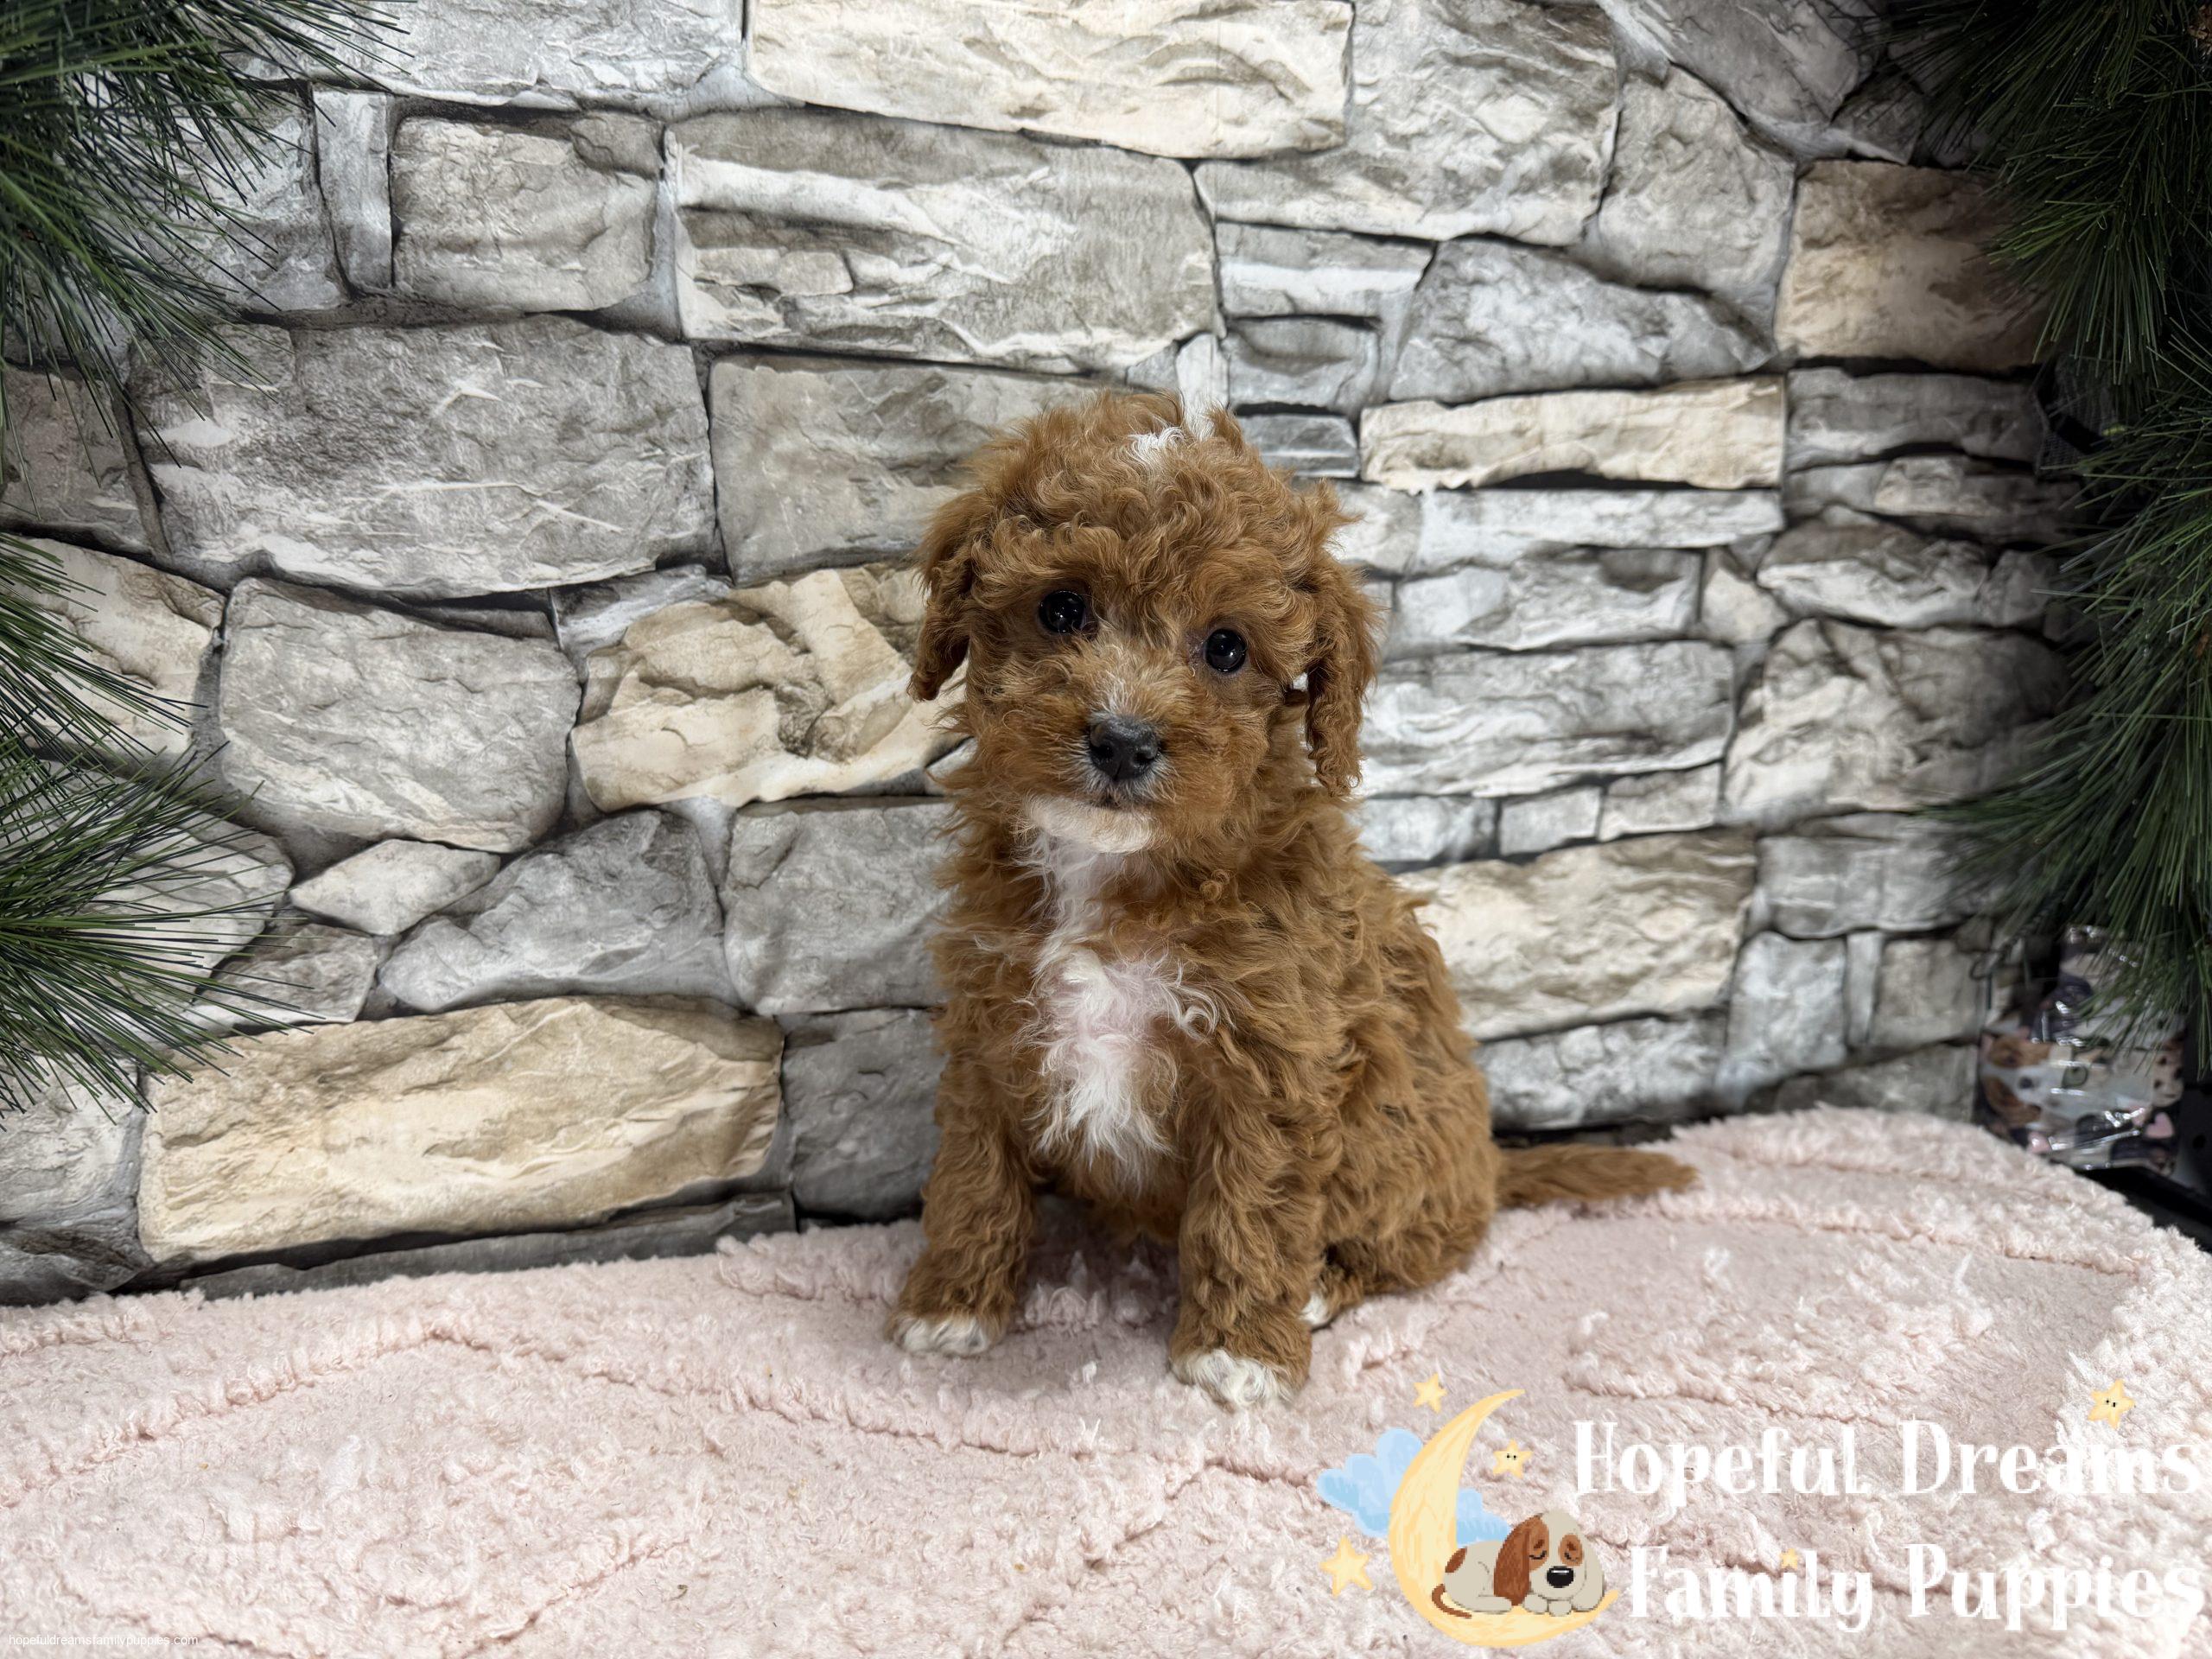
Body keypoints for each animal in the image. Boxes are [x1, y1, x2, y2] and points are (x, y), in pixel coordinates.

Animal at [886, 392, 1695, 1409]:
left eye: (1225, 647)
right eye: (1061, 608)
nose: (1122, 740)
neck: (1114, 870)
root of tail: (1491, 1169)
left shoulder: (1270, 1061)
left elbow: (1253, 1207)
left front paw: (1238, 1353)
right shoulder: (993, 1028)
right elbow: (974, 1175)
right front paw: (952, 1305)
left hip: (1406, 1156)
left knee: (1419, 1249)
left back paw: (1319, 1288)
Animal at [1435, 1512, 1606, 1618]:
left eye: (1571, 1554)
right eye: (1537, 1554)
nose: (1560, 1575)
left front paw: (1560, 1605)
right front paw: (1537, 1602)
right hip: (1477, 1571)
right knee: (1467, 1599)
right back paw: (1498, 1603)